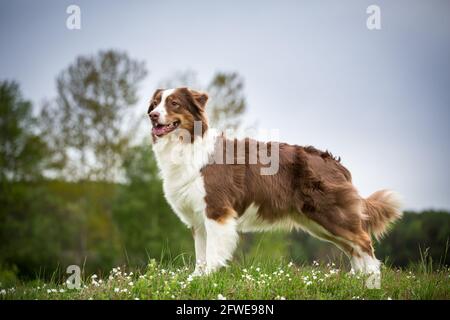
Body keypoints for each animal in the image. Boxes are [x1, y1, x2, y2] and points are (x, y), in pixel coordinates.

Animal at [147, 87, 400, 278]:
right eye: (155, 104)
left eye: (174, 103)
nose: (152, 116)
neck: (187, 145)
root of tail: (335, 163)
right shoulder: (198, 219)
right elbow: (200, 255)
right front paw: (195, 280)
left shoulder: (217, 211)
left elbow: (212, 254)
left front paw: (208, 279)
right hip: (318, 223)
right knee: (354, 248)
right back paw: (360, 281)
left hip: (331, 215)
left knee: (364, 242)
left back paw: (372, 282)